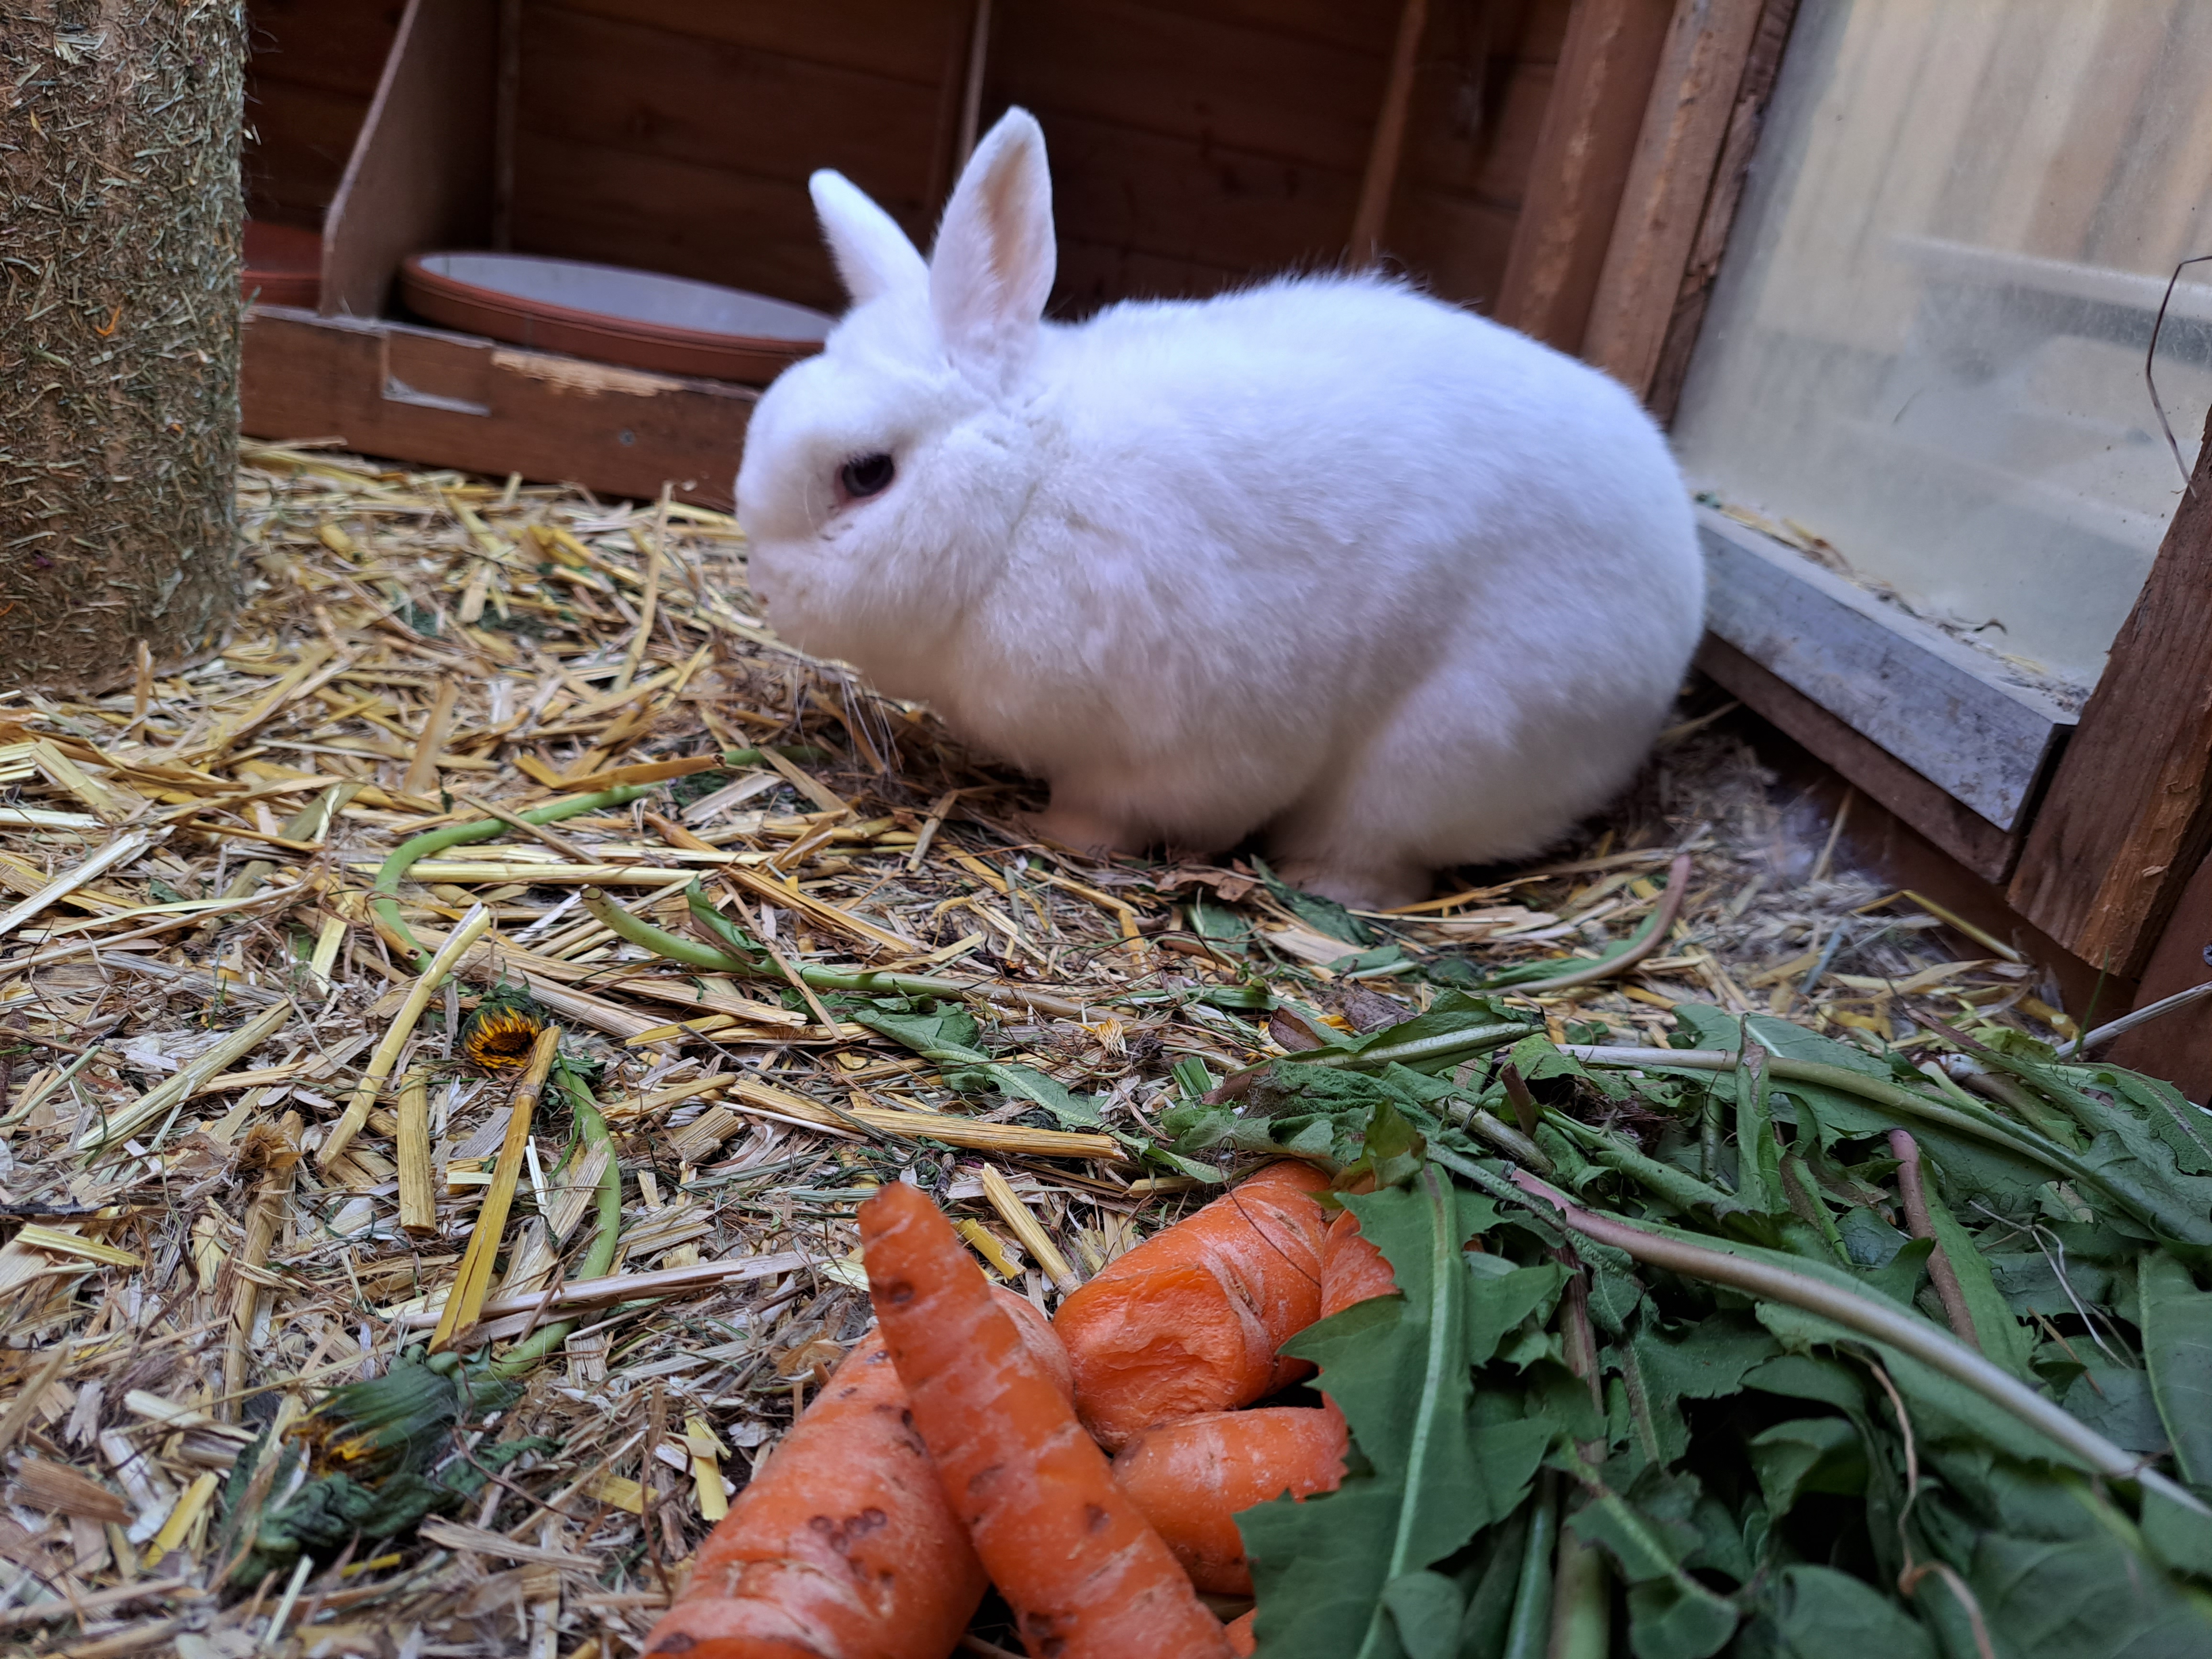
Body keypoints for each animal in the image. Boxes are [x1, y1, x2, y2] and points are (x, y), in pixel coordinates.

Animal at [734, 107, 1705, 910]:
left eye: (866, 474)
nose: (768, 594)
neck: (1030, 493)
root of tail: (1681, 602)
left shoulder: (1173, 748)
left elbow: (1112, 811)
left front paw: (1051, 835)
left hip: (1442, 747)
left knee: (1382, 855)